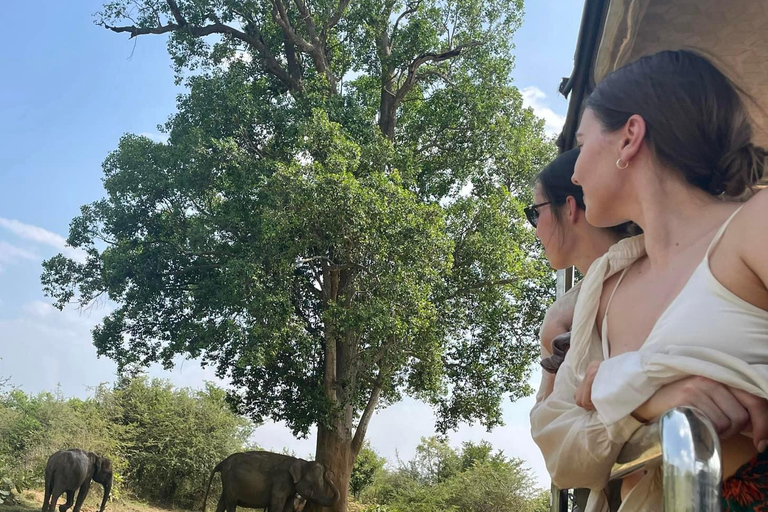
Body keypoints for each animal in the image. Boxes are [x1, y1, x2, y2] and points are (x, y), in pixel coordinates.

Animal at [201, 452, 340, 512]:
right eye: (312, 487)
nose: (328, 472)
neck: (301, 461)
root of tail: (222, 462)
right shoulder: (281, 481)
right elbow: (277, 505)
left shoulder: (291, 489)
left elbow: (287, 507)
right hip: (230, 482)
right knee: (231, 503)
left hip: (227, 482)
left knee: (222, 503)